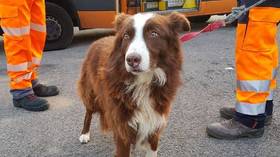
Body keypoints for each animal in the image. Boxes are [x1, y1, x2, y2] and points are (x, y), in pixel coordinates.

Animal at [77, 12, 189, 157]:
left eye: (154, 33)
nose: (131, 60)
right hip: (91, 92)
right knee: (88, 112)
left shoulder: (154, 125)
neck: (143, 82)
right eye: (126, 36)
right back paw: (84, 134)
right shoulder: (123, 128)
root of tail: (98, 40)